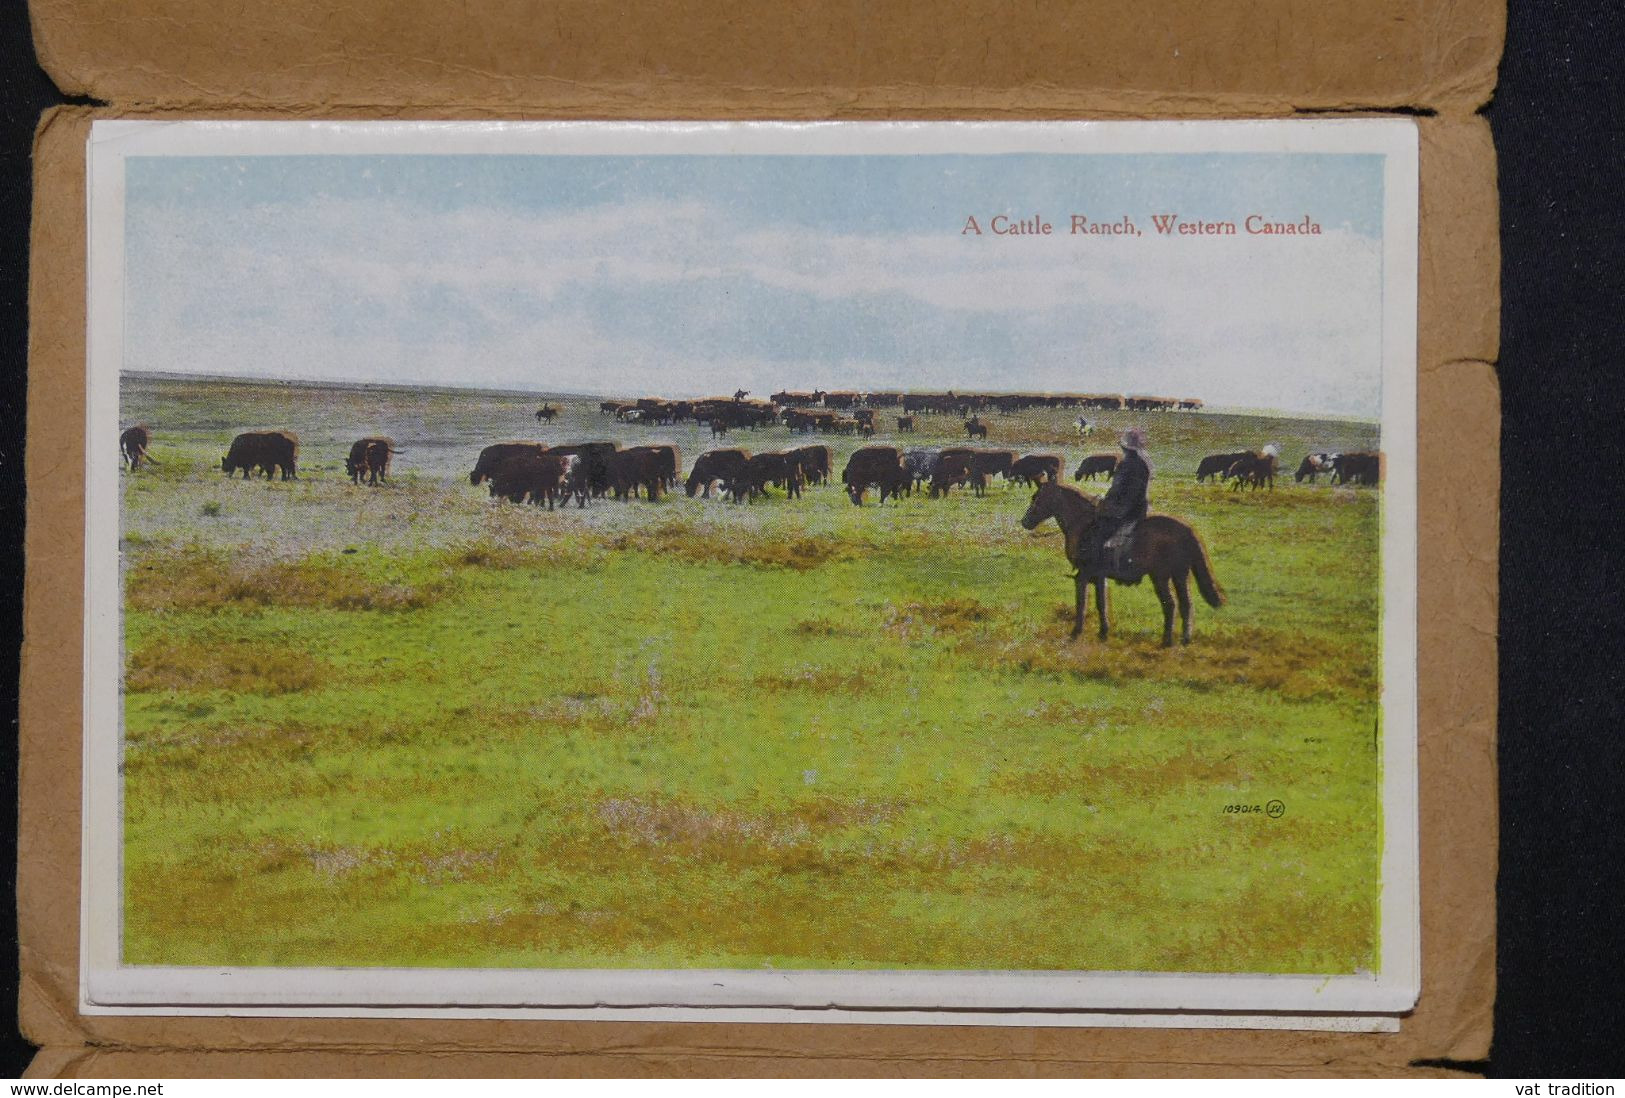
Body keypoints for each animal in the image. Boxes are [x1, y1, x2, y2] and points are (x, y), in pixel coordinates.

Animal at [1020, 480, 1222, 643]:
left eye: (1037, 498)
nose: (1025, 521)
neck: (1084, 524)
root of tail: (1187, 529)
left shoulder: (1083, 576)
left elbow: (1081, 603)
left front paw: (1076, 631)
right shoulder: (1099, 577)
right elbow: (1101, 604)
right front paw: (1103, 632)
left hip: (1161, 577)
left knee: (1170, 604)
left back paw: (1167, 641)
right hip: (1180, 576)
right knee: (1186, 605)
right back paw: (1185, 639)